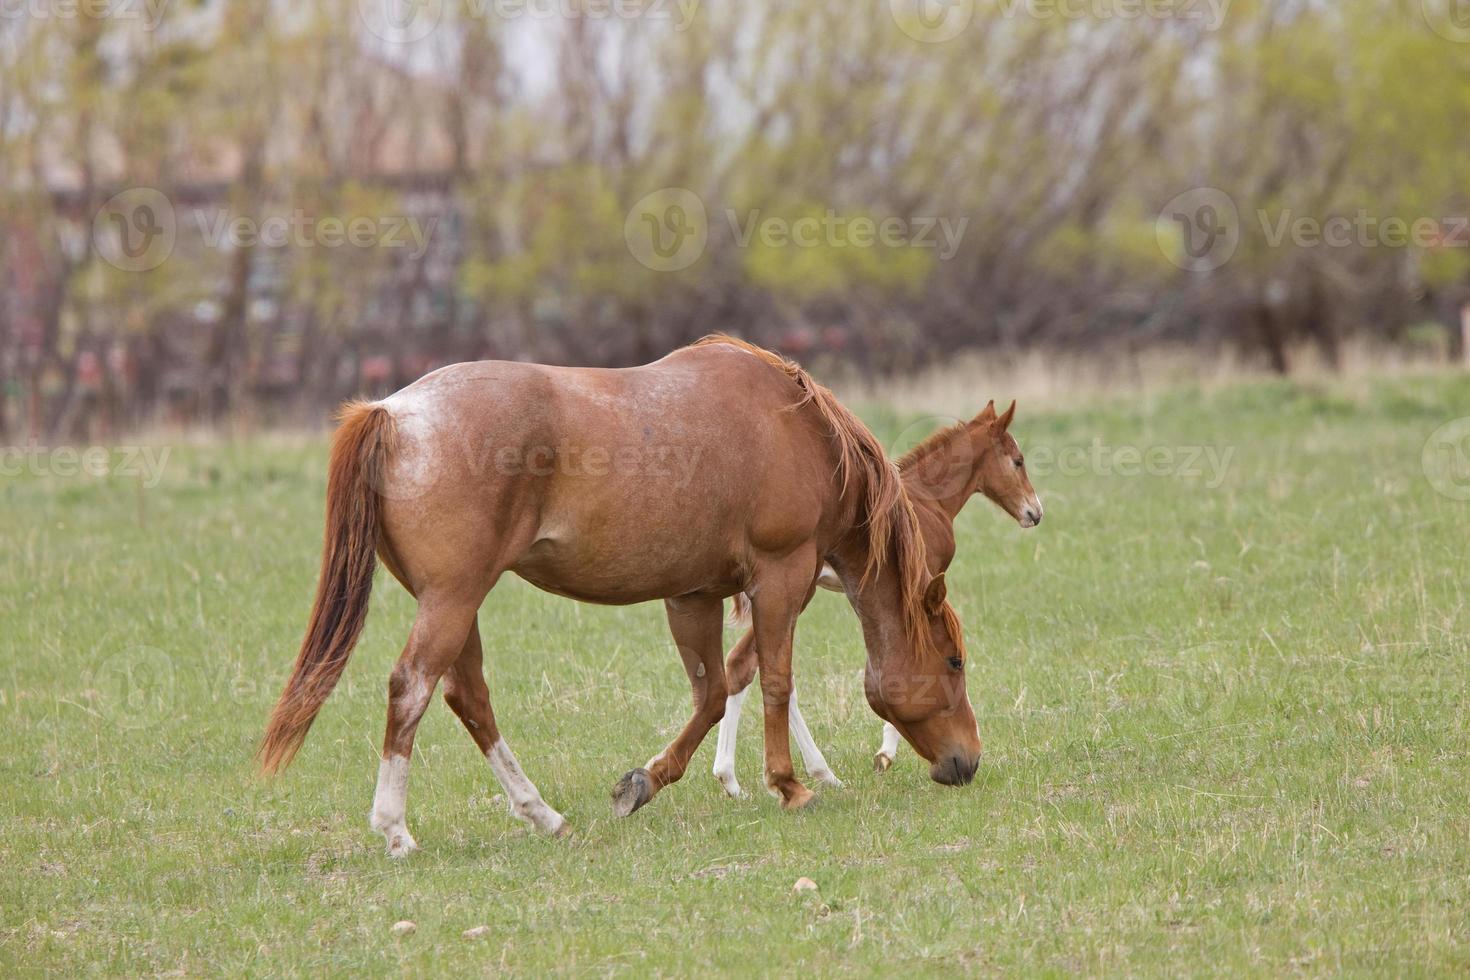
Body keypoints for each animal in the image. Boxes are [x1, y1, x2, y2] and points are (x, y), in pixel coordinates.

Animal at [260, 339, 981, 858]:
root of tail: (393, 411)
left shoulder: (693, 595)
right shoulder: (780, 579)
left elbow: (714, 692)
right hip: (452, 601)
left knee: (469, 698)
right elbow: (774, 680)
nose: (967, 762)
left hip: (455, 606)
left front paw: (645, 783)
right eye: (954, 661)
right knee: (412, 687)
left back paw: (543, 815)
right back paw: (396, 828)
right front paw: (790, 785)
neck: (797, 431)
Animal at [708, 399, 1040, 799]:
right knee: (749, 666)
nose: (1035, 512)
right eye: (1018, 460)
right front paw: (886, 754)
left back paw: (750, 778)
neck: (929, 500)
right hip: (797, 592)